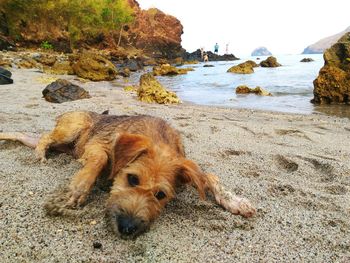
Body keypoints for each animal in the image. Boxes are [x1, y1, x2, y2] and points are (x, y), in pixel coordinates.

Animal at [0, 111, 258, 239]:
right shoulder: (98, 144)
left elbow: (211, 176)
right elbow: (100, 159)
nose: (126, 229)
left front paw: (235, 201)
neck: (158, 139)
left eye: (161, 195)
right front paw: (78, 189)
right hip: (72, 128)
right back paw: (40, 153)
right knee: (46, 137)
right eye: (132, 179)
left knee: (33, 138)